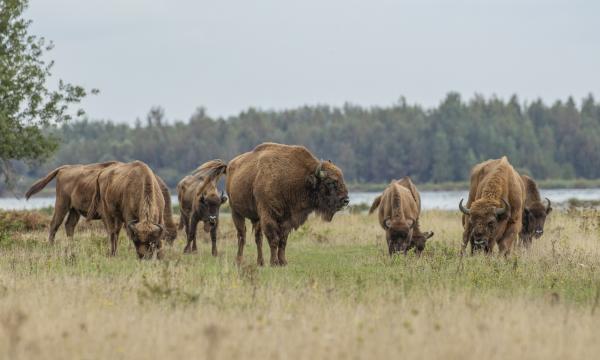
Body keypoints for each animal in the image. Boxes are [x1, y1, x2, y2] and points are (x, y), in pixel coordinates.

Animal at [25, 162, 176, 245]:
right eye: (167, 237)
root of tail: (64, 169)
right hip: (62, 204)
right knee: (54, 224)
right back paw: (51, 246)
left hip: (74, 210)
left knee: (69, 225)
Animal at [195, 142, 350, 266]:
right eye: (330, 182)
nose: (346, 200)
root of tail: (230, 166)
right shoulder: (268, 215)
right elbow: (274, 239)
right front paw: (274, 262)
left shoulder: (287, 220)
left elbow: (283, 240)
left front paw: (283, 262)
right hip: (236, 212)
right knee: (242, 236)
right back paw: (239, 260)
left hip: (256, 218)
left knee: (258, 238)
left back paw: (260, 262)